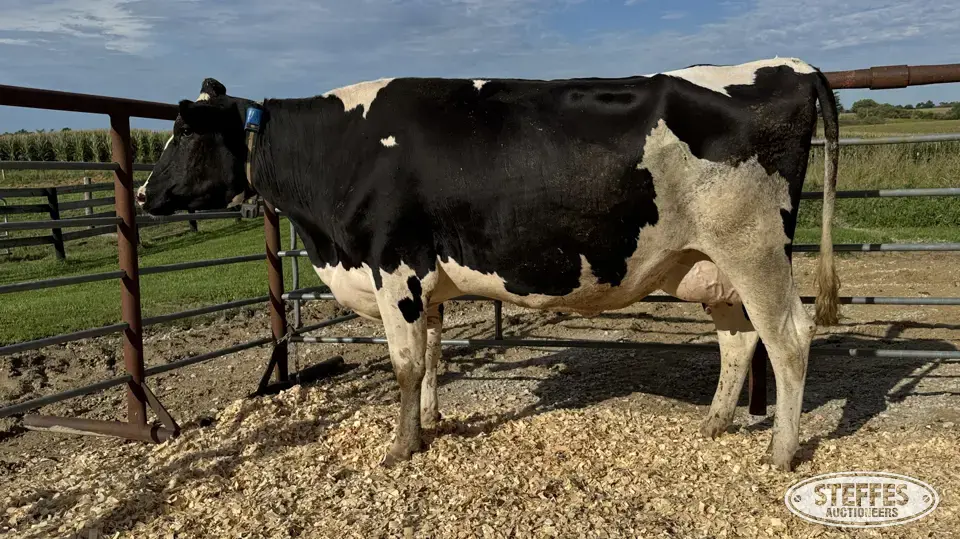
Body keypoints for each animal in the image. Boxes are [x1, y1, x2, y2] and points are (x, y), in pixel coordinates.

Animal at [138, 57, 840, 471]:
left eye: (187, 132)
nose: (143, 195)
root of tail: (791, 66)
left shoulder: (392, 266)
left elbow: (405, 363)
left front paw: (402, 447)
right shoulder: (424, 281)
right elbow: (431, 356)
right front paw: (431, 422)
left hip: (753, 247)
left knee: (788, 338)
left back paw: (779, 452)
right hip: (712, 262)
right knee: (739, 339)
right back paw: (715, 424)